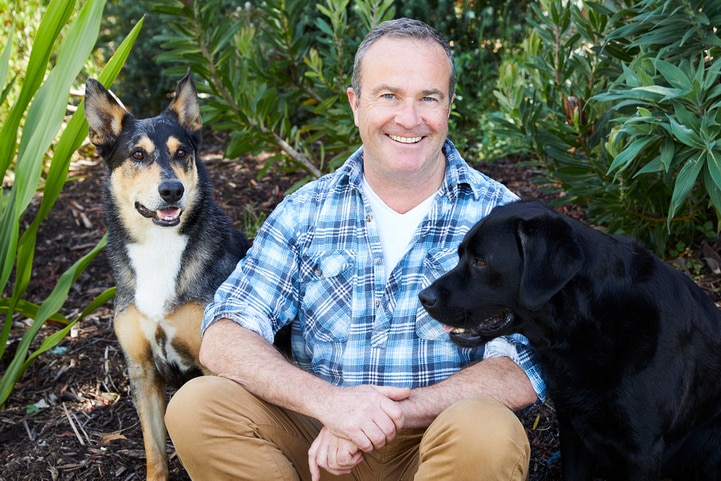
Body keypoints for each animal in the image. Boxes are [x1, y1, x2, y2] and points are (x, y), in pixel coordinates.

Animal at [82, 73, 248, 478]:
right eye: (137, 155)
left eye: (181, 153)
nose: (172, 190)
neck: (159, 247)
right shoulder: (142, 372)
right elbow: (154, 451)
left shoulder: (212, 366)